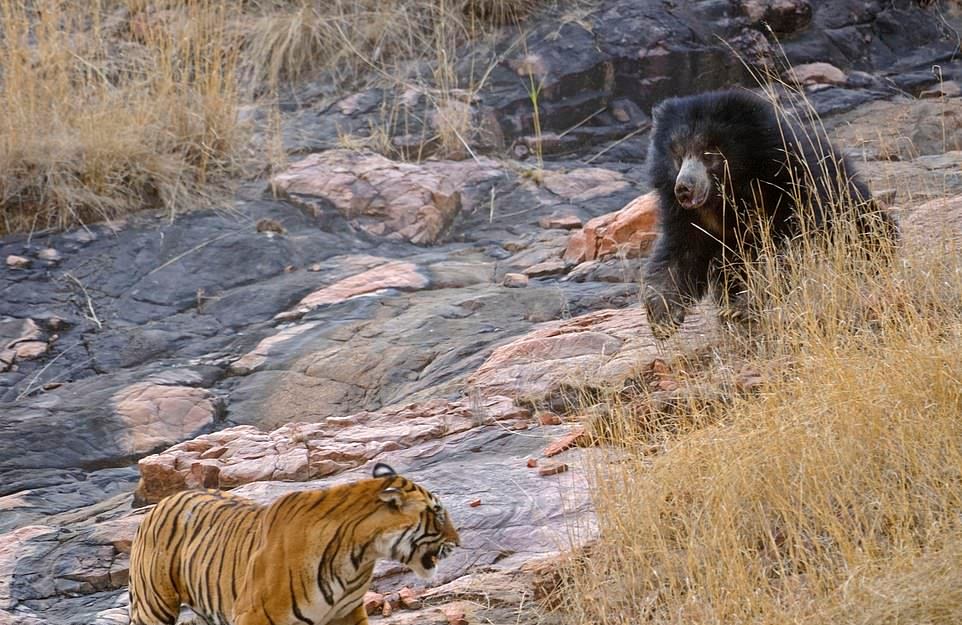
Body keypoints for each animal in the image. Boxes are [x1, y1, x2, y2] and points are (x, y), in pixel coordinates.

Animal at [128, 460, 462, 624]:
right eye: (437, 513)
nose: (458, 542)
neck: (360, 555)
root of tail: (162, 501)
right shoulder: (253, 615)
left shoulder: (346, 614)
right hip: (153, 606)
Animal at [640, 88, 896, 338]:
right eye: (677, 155)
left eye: (708, 153)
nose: (684, 188)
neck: (731, 191)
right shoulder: (689, 217)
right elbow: (680, 254)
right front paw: (662, 316)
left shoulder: (791, 185)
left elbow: (786, 247)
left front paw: (742, 308)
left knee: (869, 231)